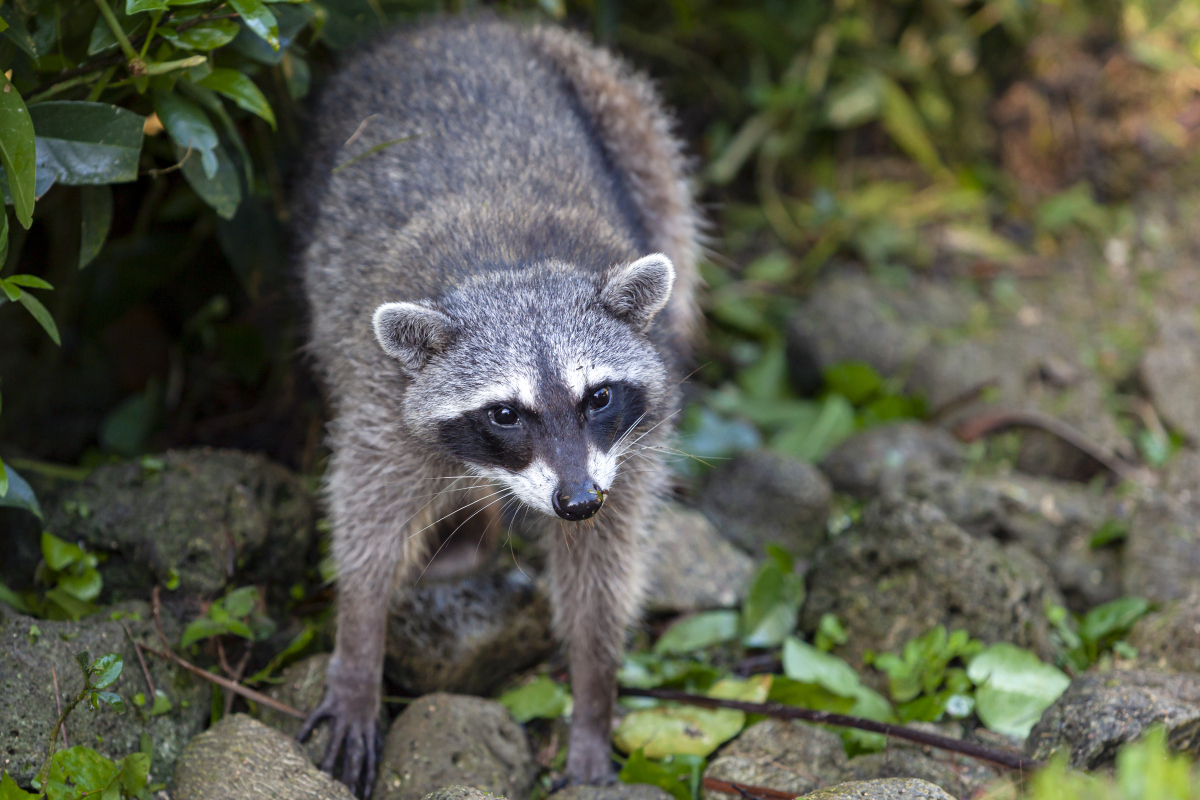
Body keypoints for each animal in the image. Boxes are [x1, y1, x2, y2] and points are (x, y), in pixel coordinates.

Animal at [291, 17, 700, 796]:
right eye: (505, 414)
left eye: (598, 396)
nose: (576, 500)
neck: (515, 268)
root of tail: (454, 24)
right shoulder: (382, 394)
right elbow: (366, 519)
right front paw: (358, 644)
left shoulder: (631, 440)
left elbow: (603, 568)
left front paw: (594, 697)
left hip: (621, 106)